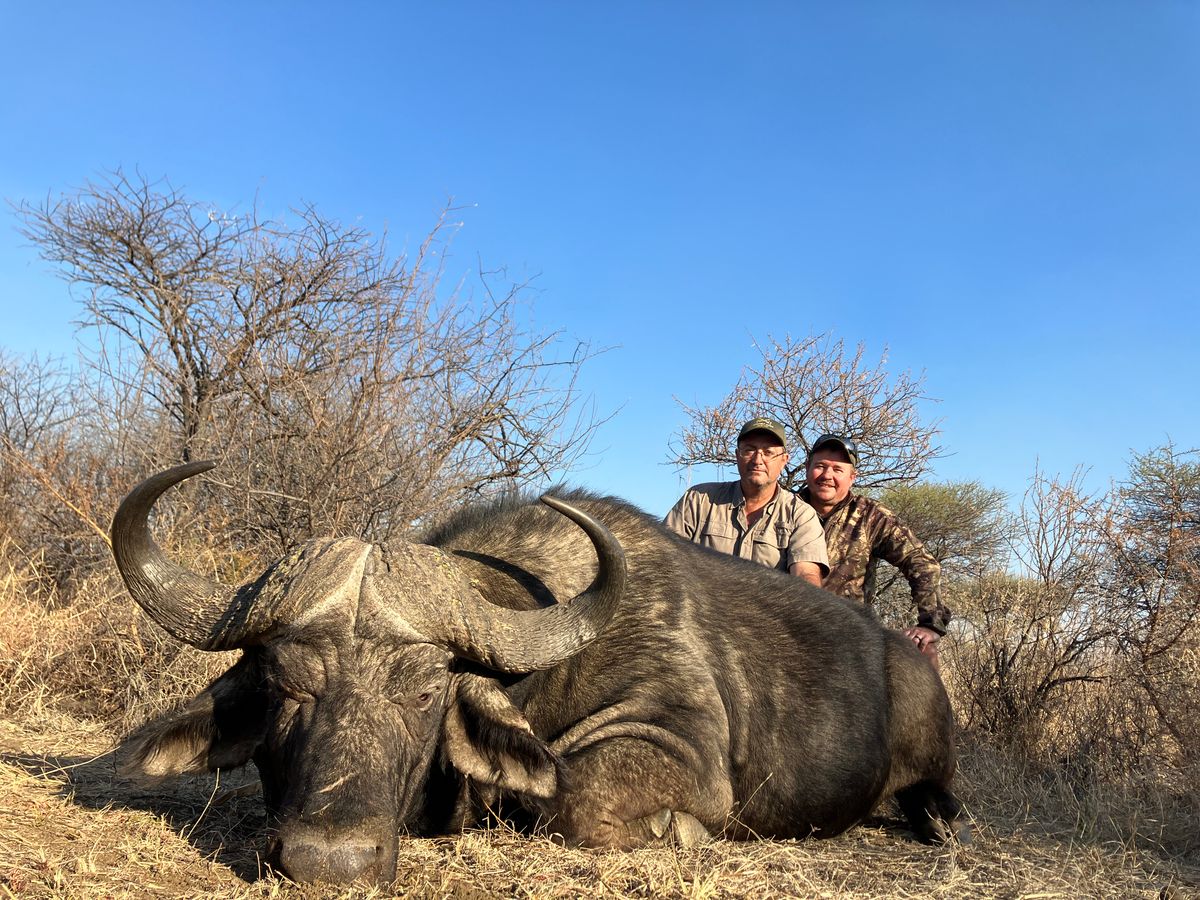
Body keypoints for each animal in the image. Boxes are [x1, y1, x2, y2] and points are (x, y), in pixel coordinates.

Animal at [112, 462, 967, 884]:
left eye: (425, 693)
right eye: (287, 686)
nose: (328, 863)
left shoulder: (679, 747)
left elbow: (575, 801)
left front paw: (679, 832)